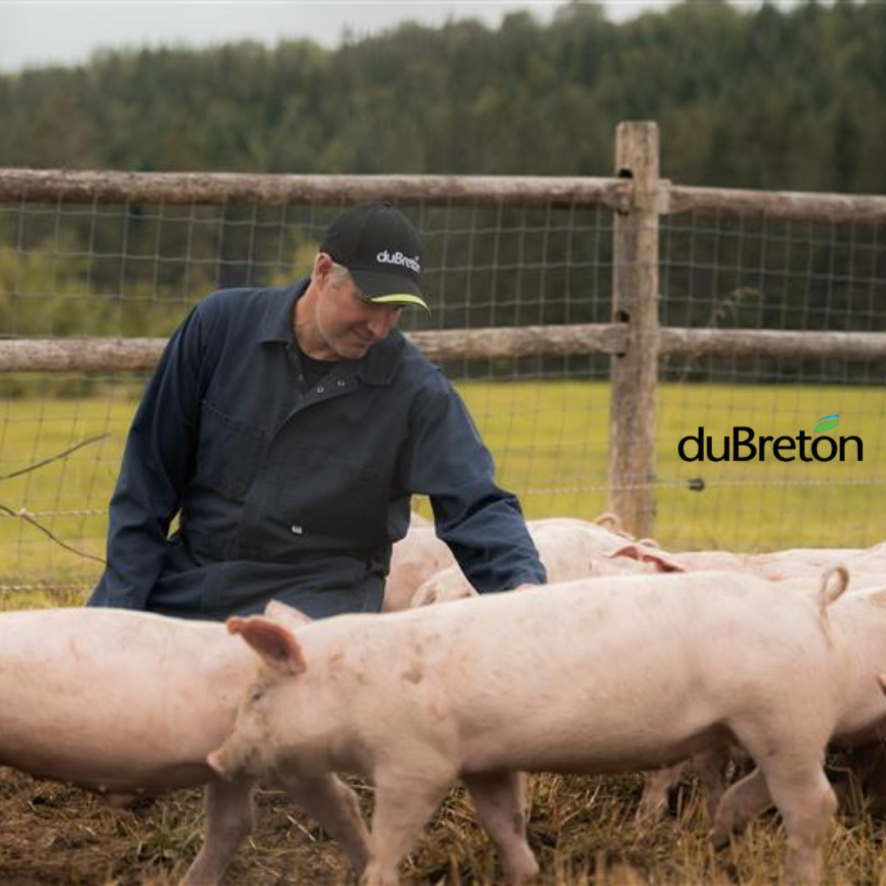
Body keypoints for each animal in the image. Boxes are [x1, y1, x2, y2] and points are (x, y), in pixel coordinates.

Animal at [209, 568, 851, 886]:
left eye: (258, 694)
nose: (217, 757)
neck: (358, 684)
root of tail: (810, 606)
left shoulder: (416, 761)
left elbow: (392, 835)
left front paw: (375, 876)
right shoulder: (486, 762)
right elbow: (504, 820)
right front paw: (525, 874)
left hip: (781, 718)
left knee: (815, 804)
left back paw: (796, 876)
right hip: (763, 728)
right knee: (768, 788)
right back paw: (719, 833)